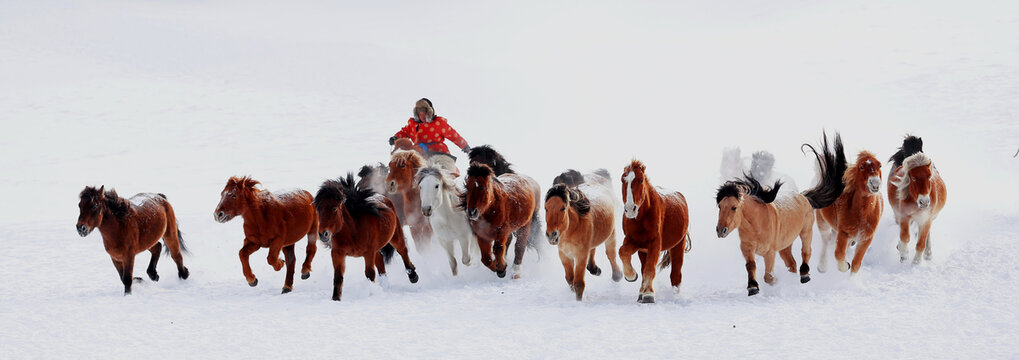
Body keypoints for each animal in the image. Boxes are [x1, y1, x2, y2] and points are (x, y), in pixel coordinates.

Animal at [542, 169, 619, 299]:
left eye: (563, 208)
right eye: (546, 208)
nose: (551, 235)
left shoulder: (580, 255)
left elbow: (578, 283)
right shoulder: (564, 255)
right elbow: (570, 279)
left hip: (611, 234)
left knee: (611, 254)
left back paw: (617, 275)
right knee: (593, 250)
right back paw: (595, 269)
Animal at [615, 158, 688, 301]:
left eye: (641, 180)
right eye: (622, 180)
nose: (630, 209)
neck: (641, 218)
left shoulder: (655, 243)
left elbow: (650, 268)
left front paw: (648, 294)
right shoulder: (634, 241)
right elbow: (623, 252)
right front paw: (631, 276)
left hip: (678, 245)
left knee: (676, 274)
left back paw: (674, 296)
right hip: (643, 251)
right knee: (644, 268)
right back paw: (640, 293)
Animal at [713, 135, 839, 295]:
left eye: (734, 207)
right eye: (719, 206)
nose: (720, 230)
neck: (756, 225)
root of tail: (803, 196)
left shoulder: (770, 253)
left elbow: (768, 276)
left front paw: (775, 282)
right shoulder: (747, 248)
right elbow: (751, 266)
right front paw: (753, 287)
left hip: (806, 232)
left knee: (806, 252)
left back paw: (804, 276)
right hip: (785, 245)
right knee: (792, 263)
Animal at [811, 142, 884, 271]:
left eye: (879, 165)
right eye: (861, 167)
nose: (875, 183)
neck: (862, 215)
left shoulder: (866, 239)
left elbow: (856, 264)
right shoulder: (844, 233)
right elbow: (839, 255)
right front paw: (846, 265)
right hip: (822, 222)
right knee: (825, 240)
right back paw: (822, 266)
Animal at [884, 134, 945, 263]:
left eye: (930, 176)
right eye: (913, 178)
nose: (924, 202)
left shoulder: (926, 219)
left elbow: (921, 243)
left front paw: (916, 263)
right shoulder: (904, 217)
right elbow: (905, 237)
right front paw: (904, 257)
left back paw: (928, 254)